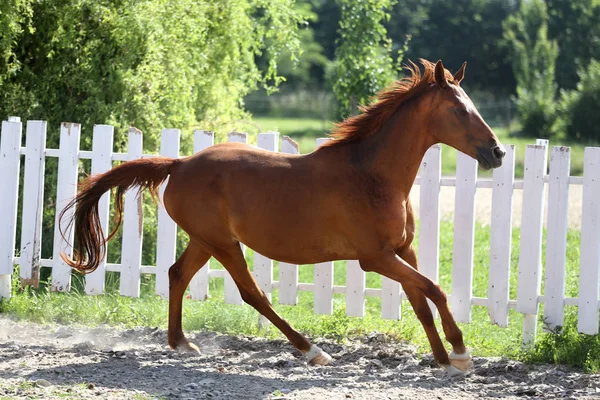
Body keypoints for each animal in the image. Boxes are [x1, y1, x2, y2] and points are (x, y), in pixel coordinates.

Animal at [61, 59, 504, 376]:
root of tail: (180, 163)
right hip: (223, 244)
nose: (497, 152)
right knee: (251, 293)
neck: (372, 175)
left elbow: (422, 300)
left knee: (177, 274)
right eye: (459, 110)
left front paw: (444, 359)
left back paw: (181, 343)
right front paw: (461, 353)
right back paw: (312, 350)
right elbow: (436, 290)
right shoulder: (375, 258)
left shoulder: (402, 252)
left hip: (205, 240)